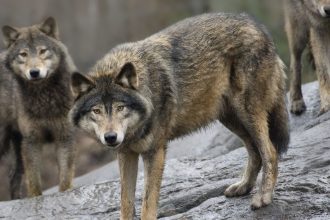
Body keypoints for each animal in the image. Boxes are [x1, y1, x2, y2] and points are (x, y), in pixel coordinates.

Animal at [0, 17, 76, 198]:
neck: (44, 98)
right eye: (23, 54)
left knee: (13, 176)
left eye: (42, 51)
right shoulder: (32, 141)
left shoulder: (64, 137)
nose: (34, 72)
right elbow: (34, 181)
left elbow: (65, 178)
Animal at [71, 12, 290, 219]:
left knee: (270, 152)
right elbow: (126, 203)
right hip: (231, 119)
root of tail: (258, 26)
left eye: (120, 107)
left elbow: (148, 203)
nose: (110, 137)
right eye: (96, 111)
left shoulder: (155, 152)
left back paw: (263, 197)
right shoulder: (126, 153)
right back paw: (243, 187)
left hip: (247, 112)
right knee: (255, 152)